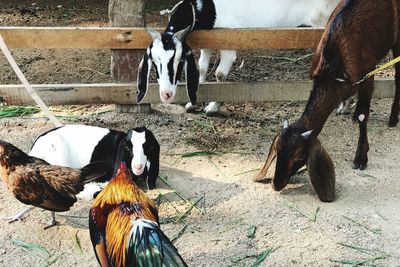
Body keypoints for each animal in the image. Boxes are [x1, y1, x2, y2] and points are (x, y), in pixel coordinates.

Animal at [138, 0, 340, 115]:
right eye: (154, 62)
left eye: (178, 61)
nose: (166, 94)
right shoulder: (206, 41)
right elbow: (202, 68)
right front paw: (192, 104)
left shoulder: (228, 41)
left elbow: (219, 74)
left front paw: (212, 108)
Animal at [253, 0, 400, 202]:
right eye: (277, 151)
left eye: (300, 157)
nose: (276, 184)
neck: (332, 68)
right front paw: (345, 108)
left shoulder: (368, 72)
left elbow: (363, 115)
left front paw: (360, 158)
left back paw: (393, 118)